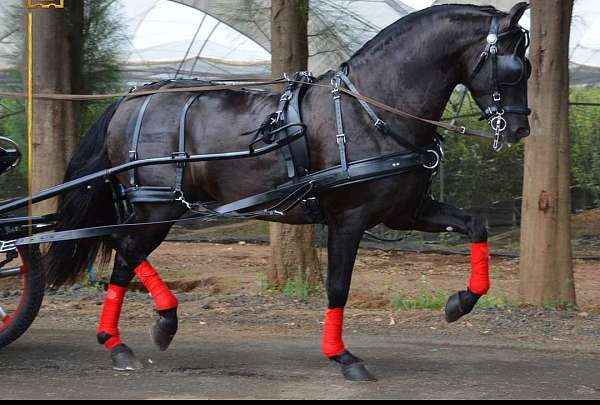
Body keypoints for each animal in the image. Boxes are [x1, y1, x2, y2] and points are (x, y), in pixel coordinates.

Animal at [49, 3, 532, 382]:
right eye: (512, 67)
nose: (520, 129)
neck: (370, 110)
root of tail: (130, 99)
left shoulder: (406, 212)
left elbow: (475, 225)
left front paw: (460, 303)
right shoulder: (349, 218)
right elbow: (338, 285)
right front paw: (343, 356)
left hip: (153, 210)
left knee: (123, 258)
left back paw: (118, 342)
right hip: (158, 207)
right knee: (126, 248)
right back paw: (160, 322)